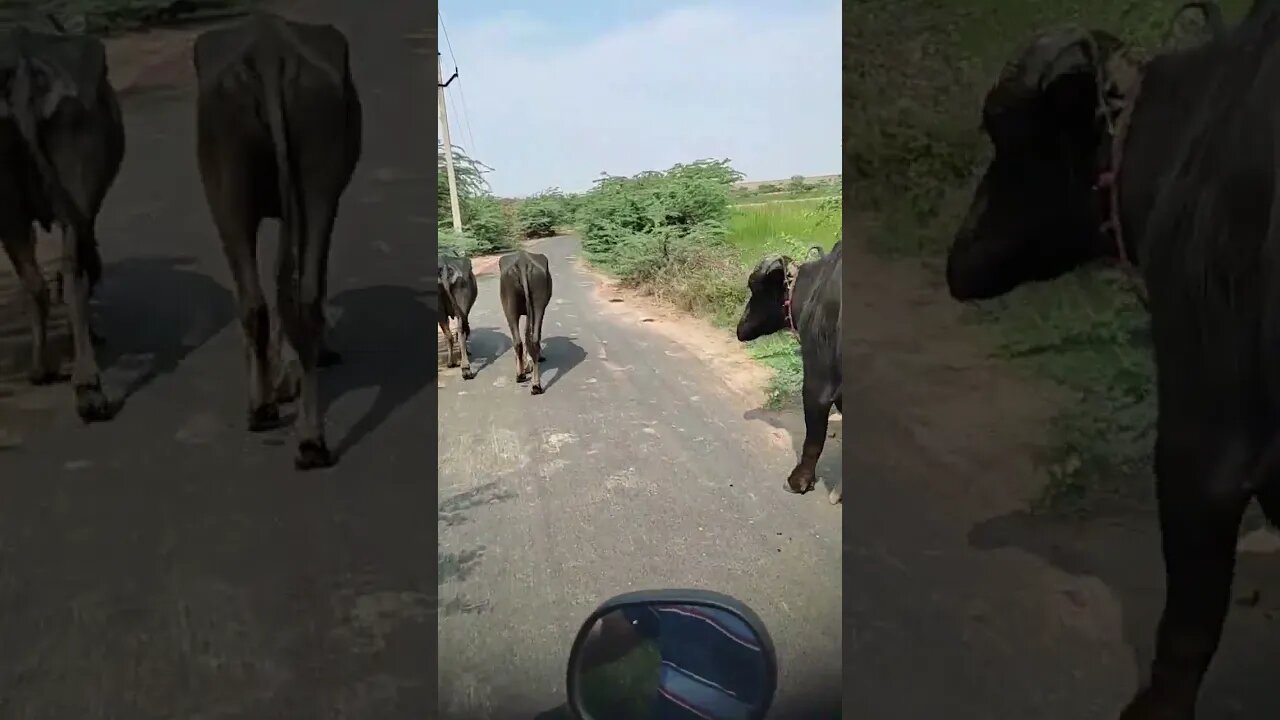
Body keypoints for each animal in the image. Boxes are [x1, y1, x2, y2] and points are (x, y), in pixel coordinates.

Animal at [496, 245, 552, 392]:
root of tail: (523, 263)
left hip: (509, 302)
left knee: (519, 340)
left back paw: (521, 375)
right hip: (538, 299)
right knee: (533, 338)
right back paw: (535, 384)